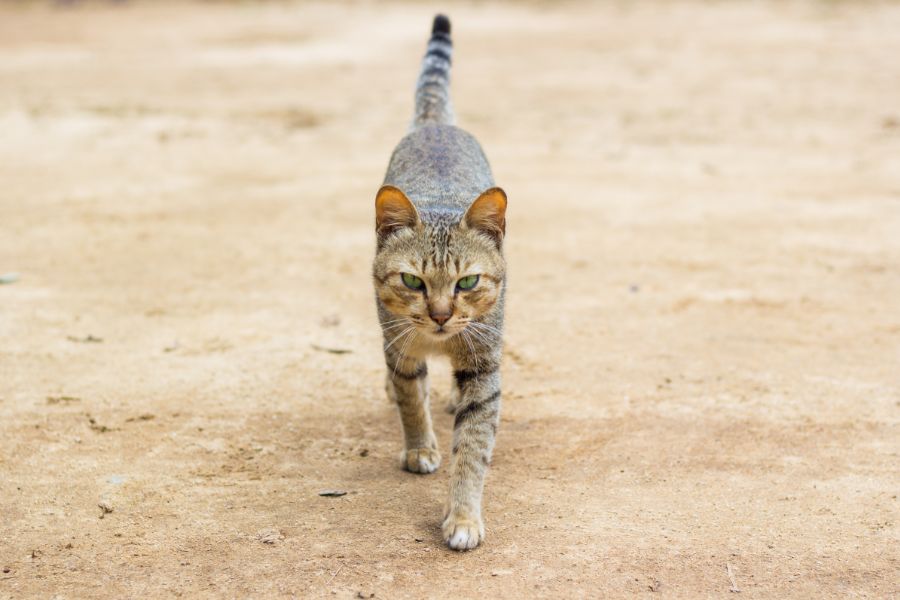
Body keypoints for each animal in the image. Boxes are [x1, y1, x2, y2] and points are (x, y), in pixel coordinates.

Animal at [370, 14, 506, 552]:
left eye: (468, 282)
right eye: (412, 280)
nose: (442, 315)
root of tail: (436, 125)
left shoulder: (484, 367)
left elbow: (472, 447)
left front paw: (464, 516)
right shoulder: (400, 346)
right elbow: (411, 399)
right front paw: (419, 448)